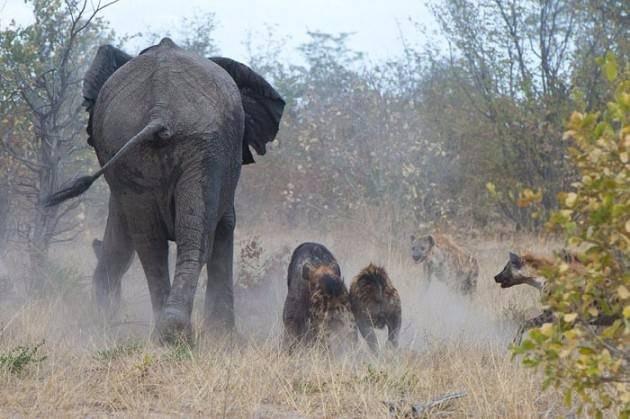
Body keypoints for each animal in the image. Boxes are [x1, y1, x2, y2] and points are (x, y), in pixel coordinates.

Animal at [45, 37, 288, 342]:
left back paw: (167, 332)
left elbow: (121, 239)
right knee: (195, 238)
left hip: (131, 143)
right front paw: (225, 338)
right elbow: (225, 226)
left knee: (150, 244)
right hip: (204, 148)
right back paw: (177, 331)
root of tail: (160, 109)